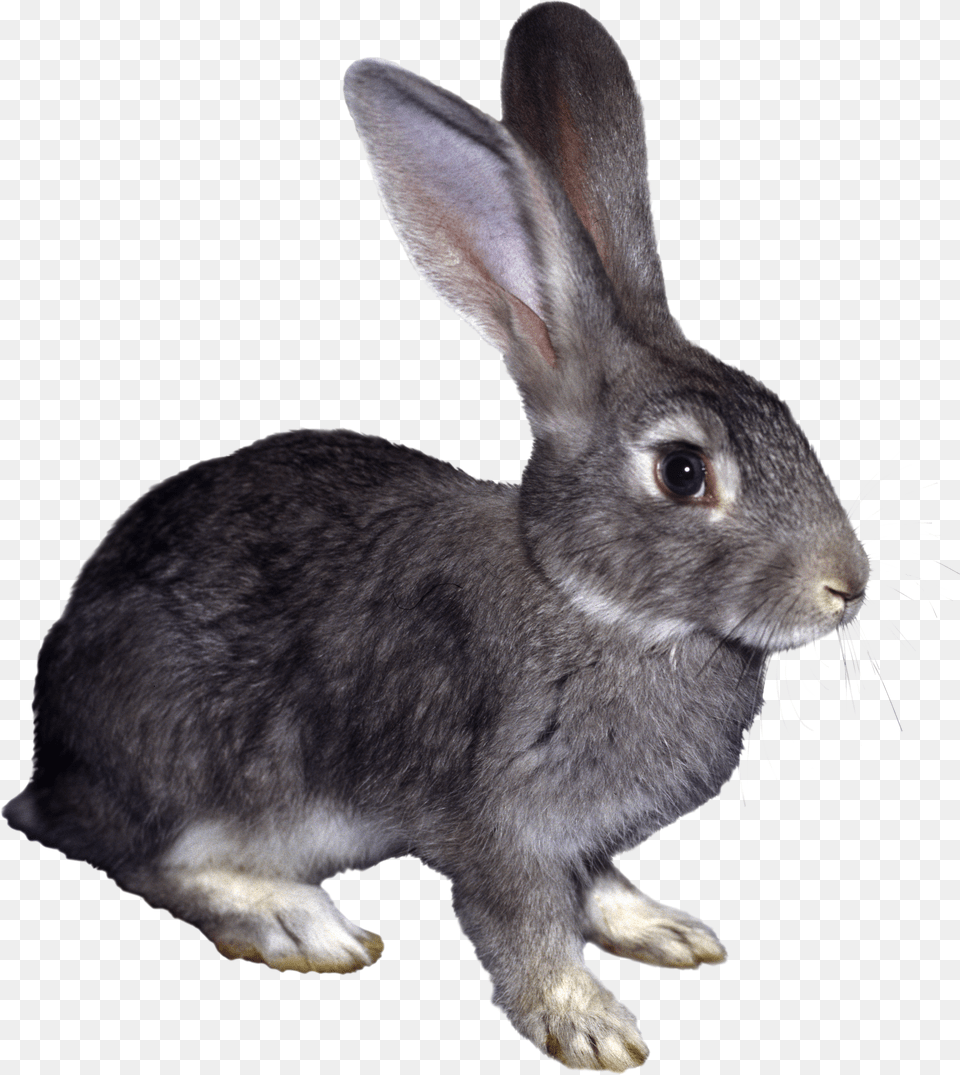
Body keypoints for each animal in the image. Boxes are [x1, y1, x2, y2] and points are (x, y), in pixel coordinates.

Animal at [4, 2, 868, 1070]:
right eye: (682, 471)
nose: (848, 583)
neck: (595, 601)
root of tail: (48, 769)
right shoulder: (497, 818)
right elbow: (522, 921)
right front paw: (587, 1021)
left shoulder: (577, 836)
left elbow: (597, 881)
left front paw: (663, 929)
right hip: (186, 746)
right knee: (143, 856)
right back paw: (297, 920)